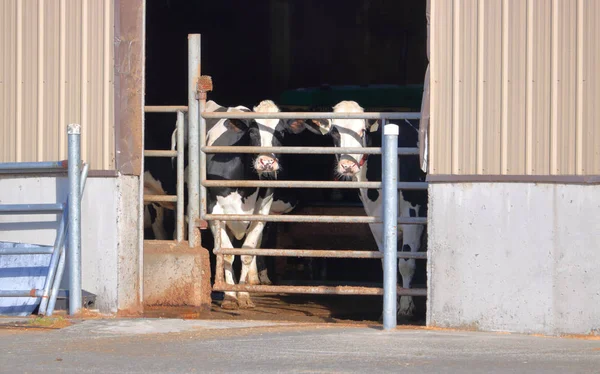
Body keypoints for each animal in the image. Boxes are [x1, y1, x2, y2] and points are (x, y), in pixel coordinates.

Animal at [324, 101, 426, 318]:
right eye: (334, 132)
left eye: (361, 130)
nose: (347, 166)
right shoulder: (376, 220)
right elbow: (387, 262)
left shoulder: (413, 216)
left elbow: (406, 262)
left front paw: (405, 307)